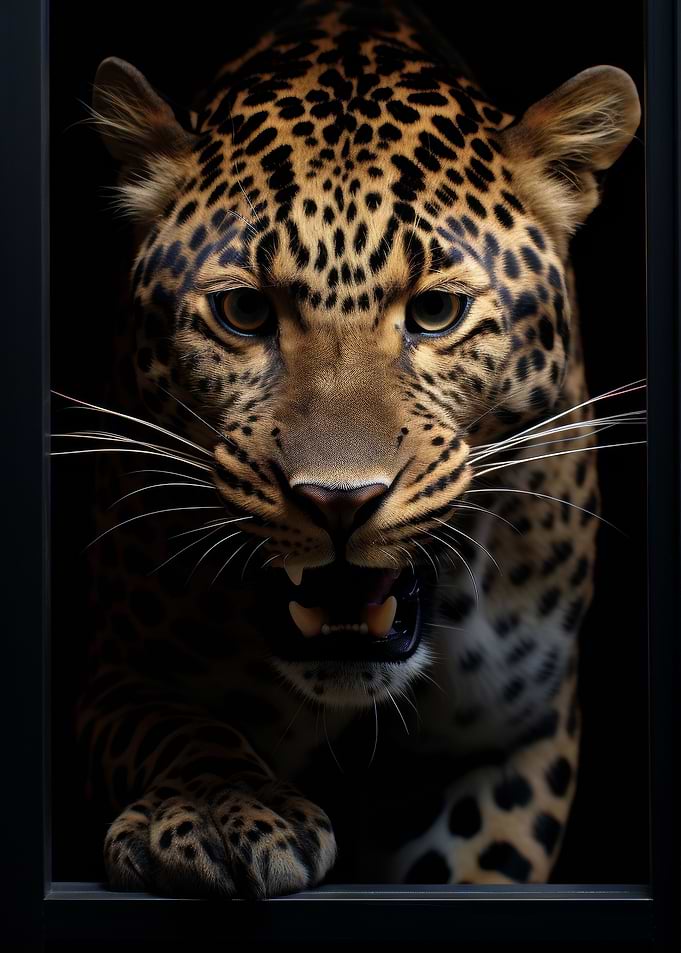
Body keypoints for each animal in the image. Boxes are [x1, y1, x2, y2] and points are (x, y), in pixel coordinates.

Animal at [68, 0, 640, 897]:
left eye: (436, 312)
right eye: (243, 313)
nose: (339, 501)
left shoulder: (518, 733)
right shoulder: (117, 670)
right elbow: (178, 728)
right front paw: (216, 810)